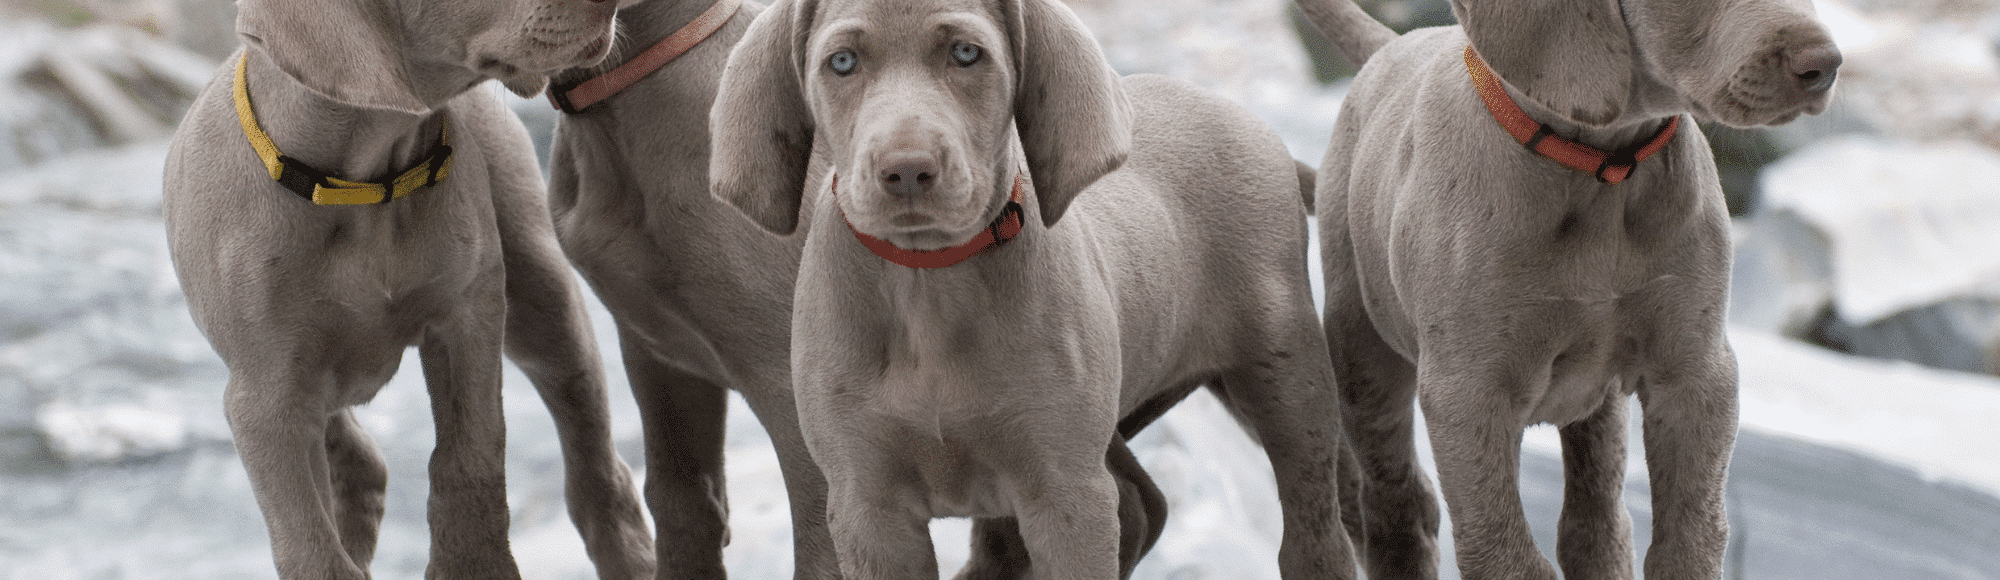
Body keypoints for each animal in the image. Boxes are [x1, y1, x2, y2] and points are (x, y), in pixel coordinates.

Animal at [163, 1, 652, 580]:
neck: (364, 183)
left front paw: (471, 565)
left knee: (596, 460)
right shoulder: (265, 395)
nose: (614, 4)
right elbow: (309, 547)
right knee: (356, 458)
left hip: (541, 295)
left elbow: (469, 458)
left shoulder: (468, 317)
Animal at [548, 0, 1168, 576]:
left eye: (967, 54)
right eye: (842, 63)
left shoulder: (790, 397)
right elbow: (680, 500)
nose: (908, 171)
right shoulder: (662, 359)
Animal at [704, 0, 1360, 576]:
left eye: (966, 54)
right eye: (841, 62)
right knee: (1142, 504)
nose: (907, 170)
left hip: (1285, 376)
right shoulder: (868, 508)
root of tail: (1244, 117)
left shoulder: (1065, 495)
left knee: (1316, 526)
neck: (927, 280)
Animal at [1296, 0, 1840, 576]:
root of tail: (1393, 45)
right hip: (1363, 353)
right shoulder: (1468, 392)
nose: (1824, 65)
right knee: (1398, 502)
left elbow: (1691, 534)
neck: (1602, 168)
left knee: (1596, 517)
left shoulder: (1695, 372)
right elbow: (1503, 553)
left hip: (1597, 399)